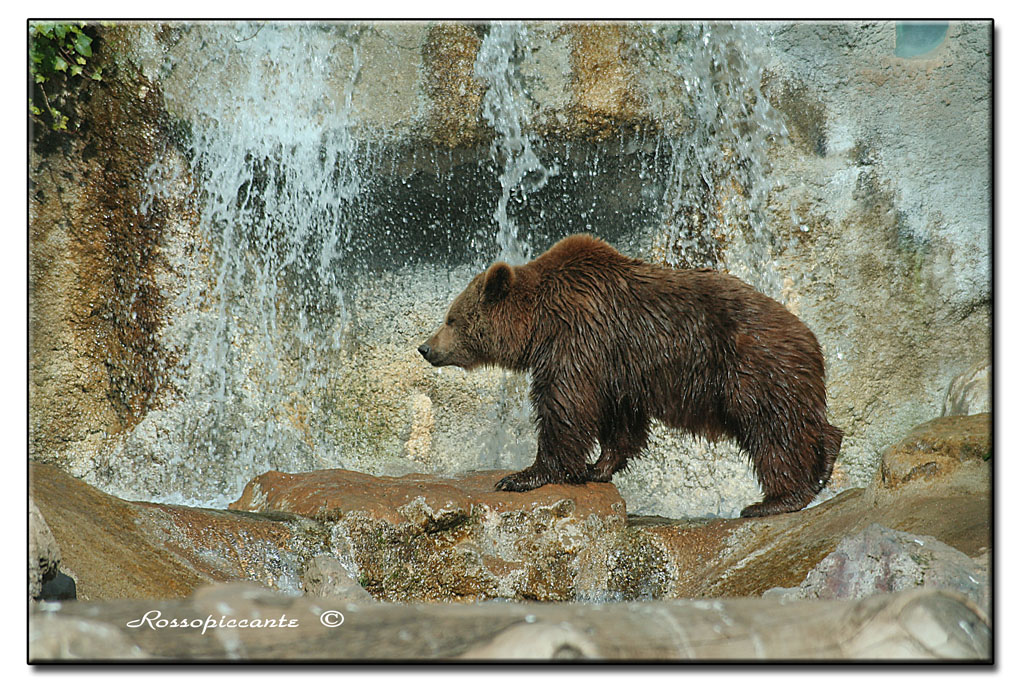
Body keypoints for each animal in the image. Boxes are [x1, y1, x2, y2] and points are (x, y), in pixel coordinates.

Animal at [418, 234, 842, 517]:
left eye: (451, 318)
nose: (425, 347)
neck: (539, 324)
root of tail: (810, 336)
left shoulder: (578, 338)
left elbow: (565, 406)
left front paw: (524, 475)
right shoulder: (616, 367)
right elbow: (620, 421)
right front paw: (597, 468)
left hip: (750, 368)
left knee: (774, 429)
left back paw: (774, 501)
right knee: (803, 422)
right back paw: (824, 465)